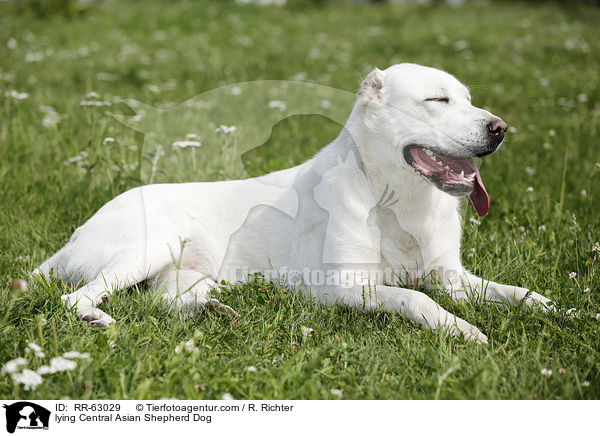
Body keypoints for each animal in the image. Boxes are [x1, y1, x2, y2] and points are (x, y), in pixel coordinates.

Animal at [34, 63, 556, 344]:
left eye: (467, 100)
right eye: (438, 100)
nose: (499, 128)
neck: (399, 198)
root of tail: (73, 237)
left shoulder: (454, 278)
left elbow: (517, 293)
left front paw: (561, 312)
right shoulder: (342, 288)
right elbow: (415, 297)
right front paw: (461, 329)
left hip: (182, 271)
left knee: (165, 300)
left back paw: (215, 310)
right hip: (153, 241)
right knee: (75, 297)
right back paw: (99, 317)